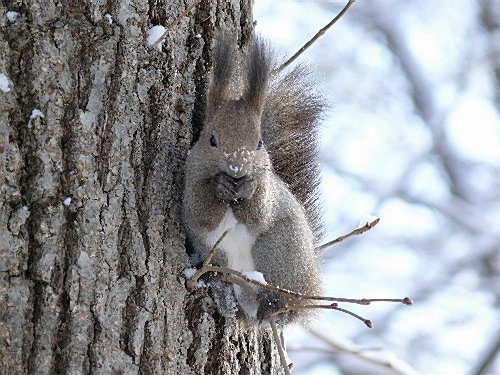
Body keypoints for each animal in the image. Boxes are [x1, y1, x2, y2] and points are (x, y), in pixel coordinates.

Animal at [183, 32, 324, 324]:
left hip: (278, 250)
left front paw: (248, 188)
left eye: (259, 143)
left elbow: (259, 212)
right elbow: (200, 213)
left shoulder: (268, 191)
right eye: (212, 139)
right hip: (216, 254)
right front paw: (218, 186)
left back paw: (272, 305)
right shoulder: (190, 182)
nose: (237, 169)